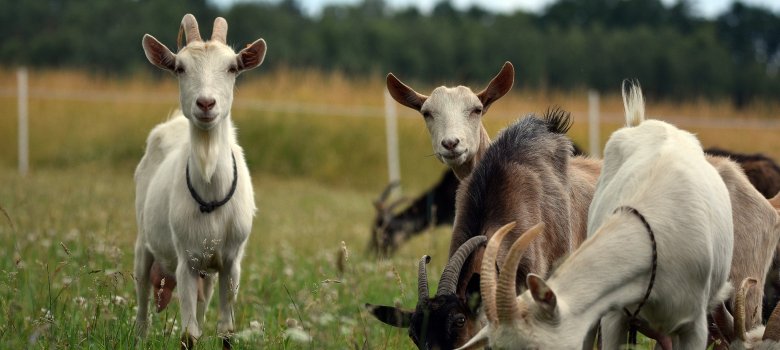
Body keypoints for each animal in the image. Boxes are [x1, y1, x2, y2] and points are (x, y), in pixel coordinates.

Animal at [133, 13, 266, 348]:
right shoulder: (187, 261)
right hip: (144, 241)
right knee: (141, 295)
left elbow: (226, 330)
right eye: (180, 68)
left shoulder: (231, 262)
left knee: (203, 304)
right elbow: (189, 334)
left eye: (232, 67)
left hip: (209, 270)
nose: (206, 104)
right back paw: (140, 334)